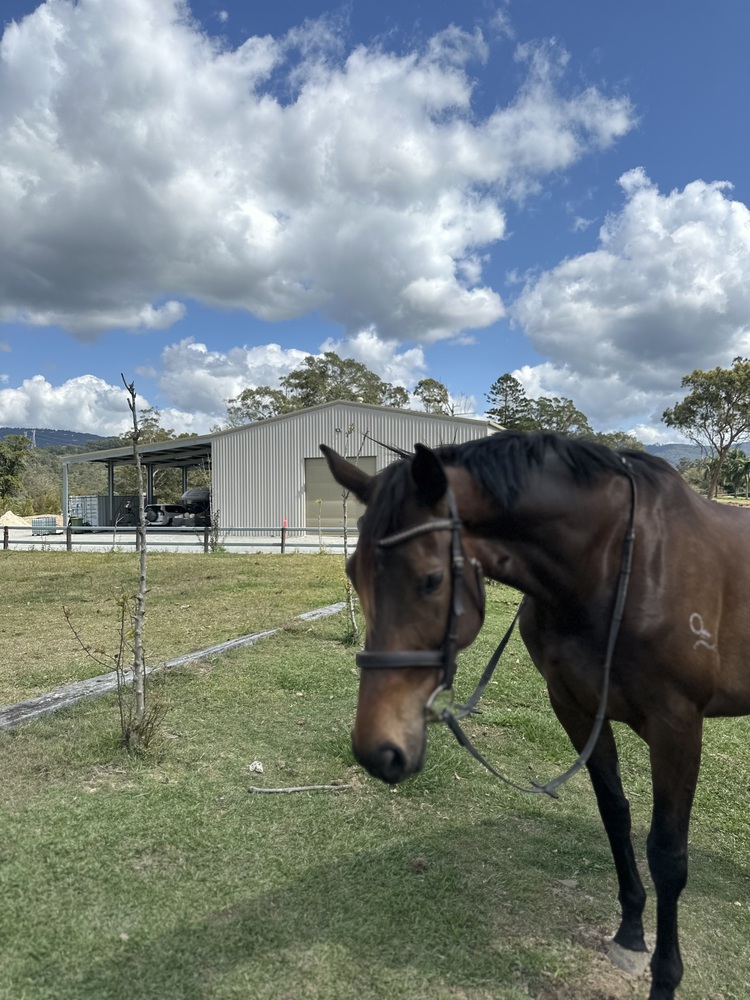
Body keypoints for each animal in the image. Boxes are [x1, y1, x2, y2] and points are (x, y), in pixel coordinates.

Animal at [321, 430, 750, 1000]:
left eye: (431, 580)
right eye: (354, 573)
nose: (377, 749)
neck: (616, 565)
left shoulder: (677, 726)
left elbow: (668, 856)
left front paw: (665, 976)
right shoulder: (576, 708)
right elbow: (615, 815)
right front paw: (631, 934)